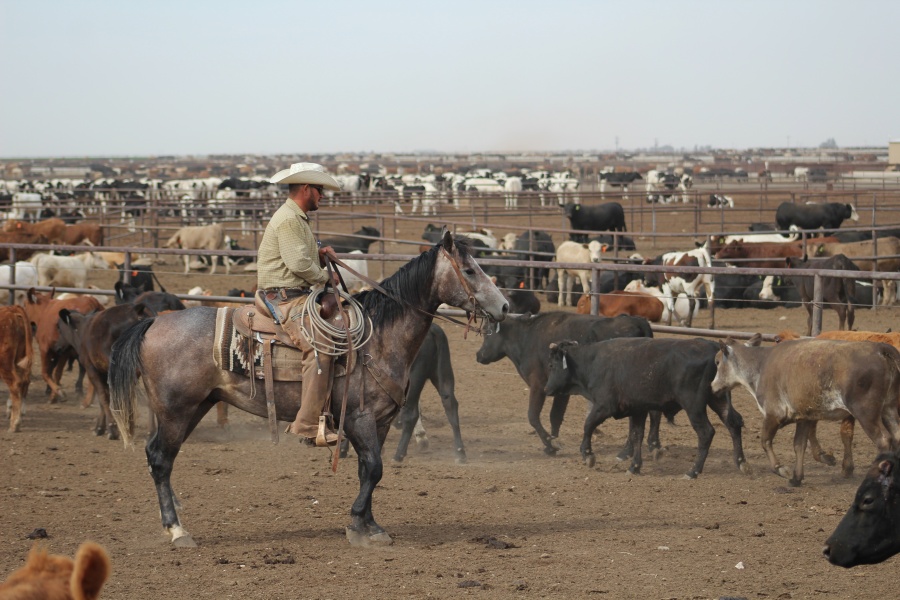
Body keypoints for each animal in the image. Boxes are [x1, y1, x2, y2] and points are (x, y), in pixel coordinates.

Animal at [0, 304, 33, 432]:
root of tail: (11, 309)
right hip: (18, 360)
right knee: (24, 382)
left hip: (4, 362)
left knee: (15, 384)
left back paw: (15, 424)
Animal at [107, 231, 506, 548]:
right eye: (470, 270)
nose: (503, 306)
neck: (378, 337)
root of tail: (152, 323)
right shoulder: (359, 418)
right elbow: (374, 469)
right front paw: (359, 524)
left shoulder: (379, 422)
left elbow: (368, 470)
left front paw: (369, 525)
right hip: (177, 410)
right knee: (160, 458)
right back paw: (177, 530)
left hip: (193, 407)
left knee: (160, 457)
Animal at [474, 314, 652, 454]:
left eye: (486, 332)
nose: (478, 355)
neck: (526, 338)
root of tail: (636, 320)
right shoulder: (560, 390)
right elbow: (555, 416)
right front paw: (553, 441)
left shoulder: (538, 385)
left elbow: (533, 416)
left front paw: (550, 444)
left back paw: (629, 450)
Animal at [544, 338, 748, 478]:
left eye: (552, 365)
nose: (546, 389)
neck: (593, 362)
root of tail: (713, 347)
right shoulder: (637, 410)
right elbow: (636, 436)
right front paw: (634, 466)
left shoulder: (604, 406)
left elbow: (588, 425)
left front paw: (587, 454)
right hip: (718, 398)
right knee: (733, 423)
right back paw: (741, 462)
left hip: (694, 406)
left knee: (706, 432)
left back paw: (693, 471)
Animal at [712, 336, 900, 486]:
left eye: (717, 362)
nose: (712, 387)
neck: (760, 365)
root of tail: (880, 349)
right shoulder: (804, 418)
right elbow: (799, 445)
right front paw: (796, 478)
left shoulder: (773, 414)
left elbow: (765, 441)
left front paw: (781, 469)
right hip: (889, 409)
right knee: (896, 435)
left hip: (866, 412)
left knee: (883, 440)